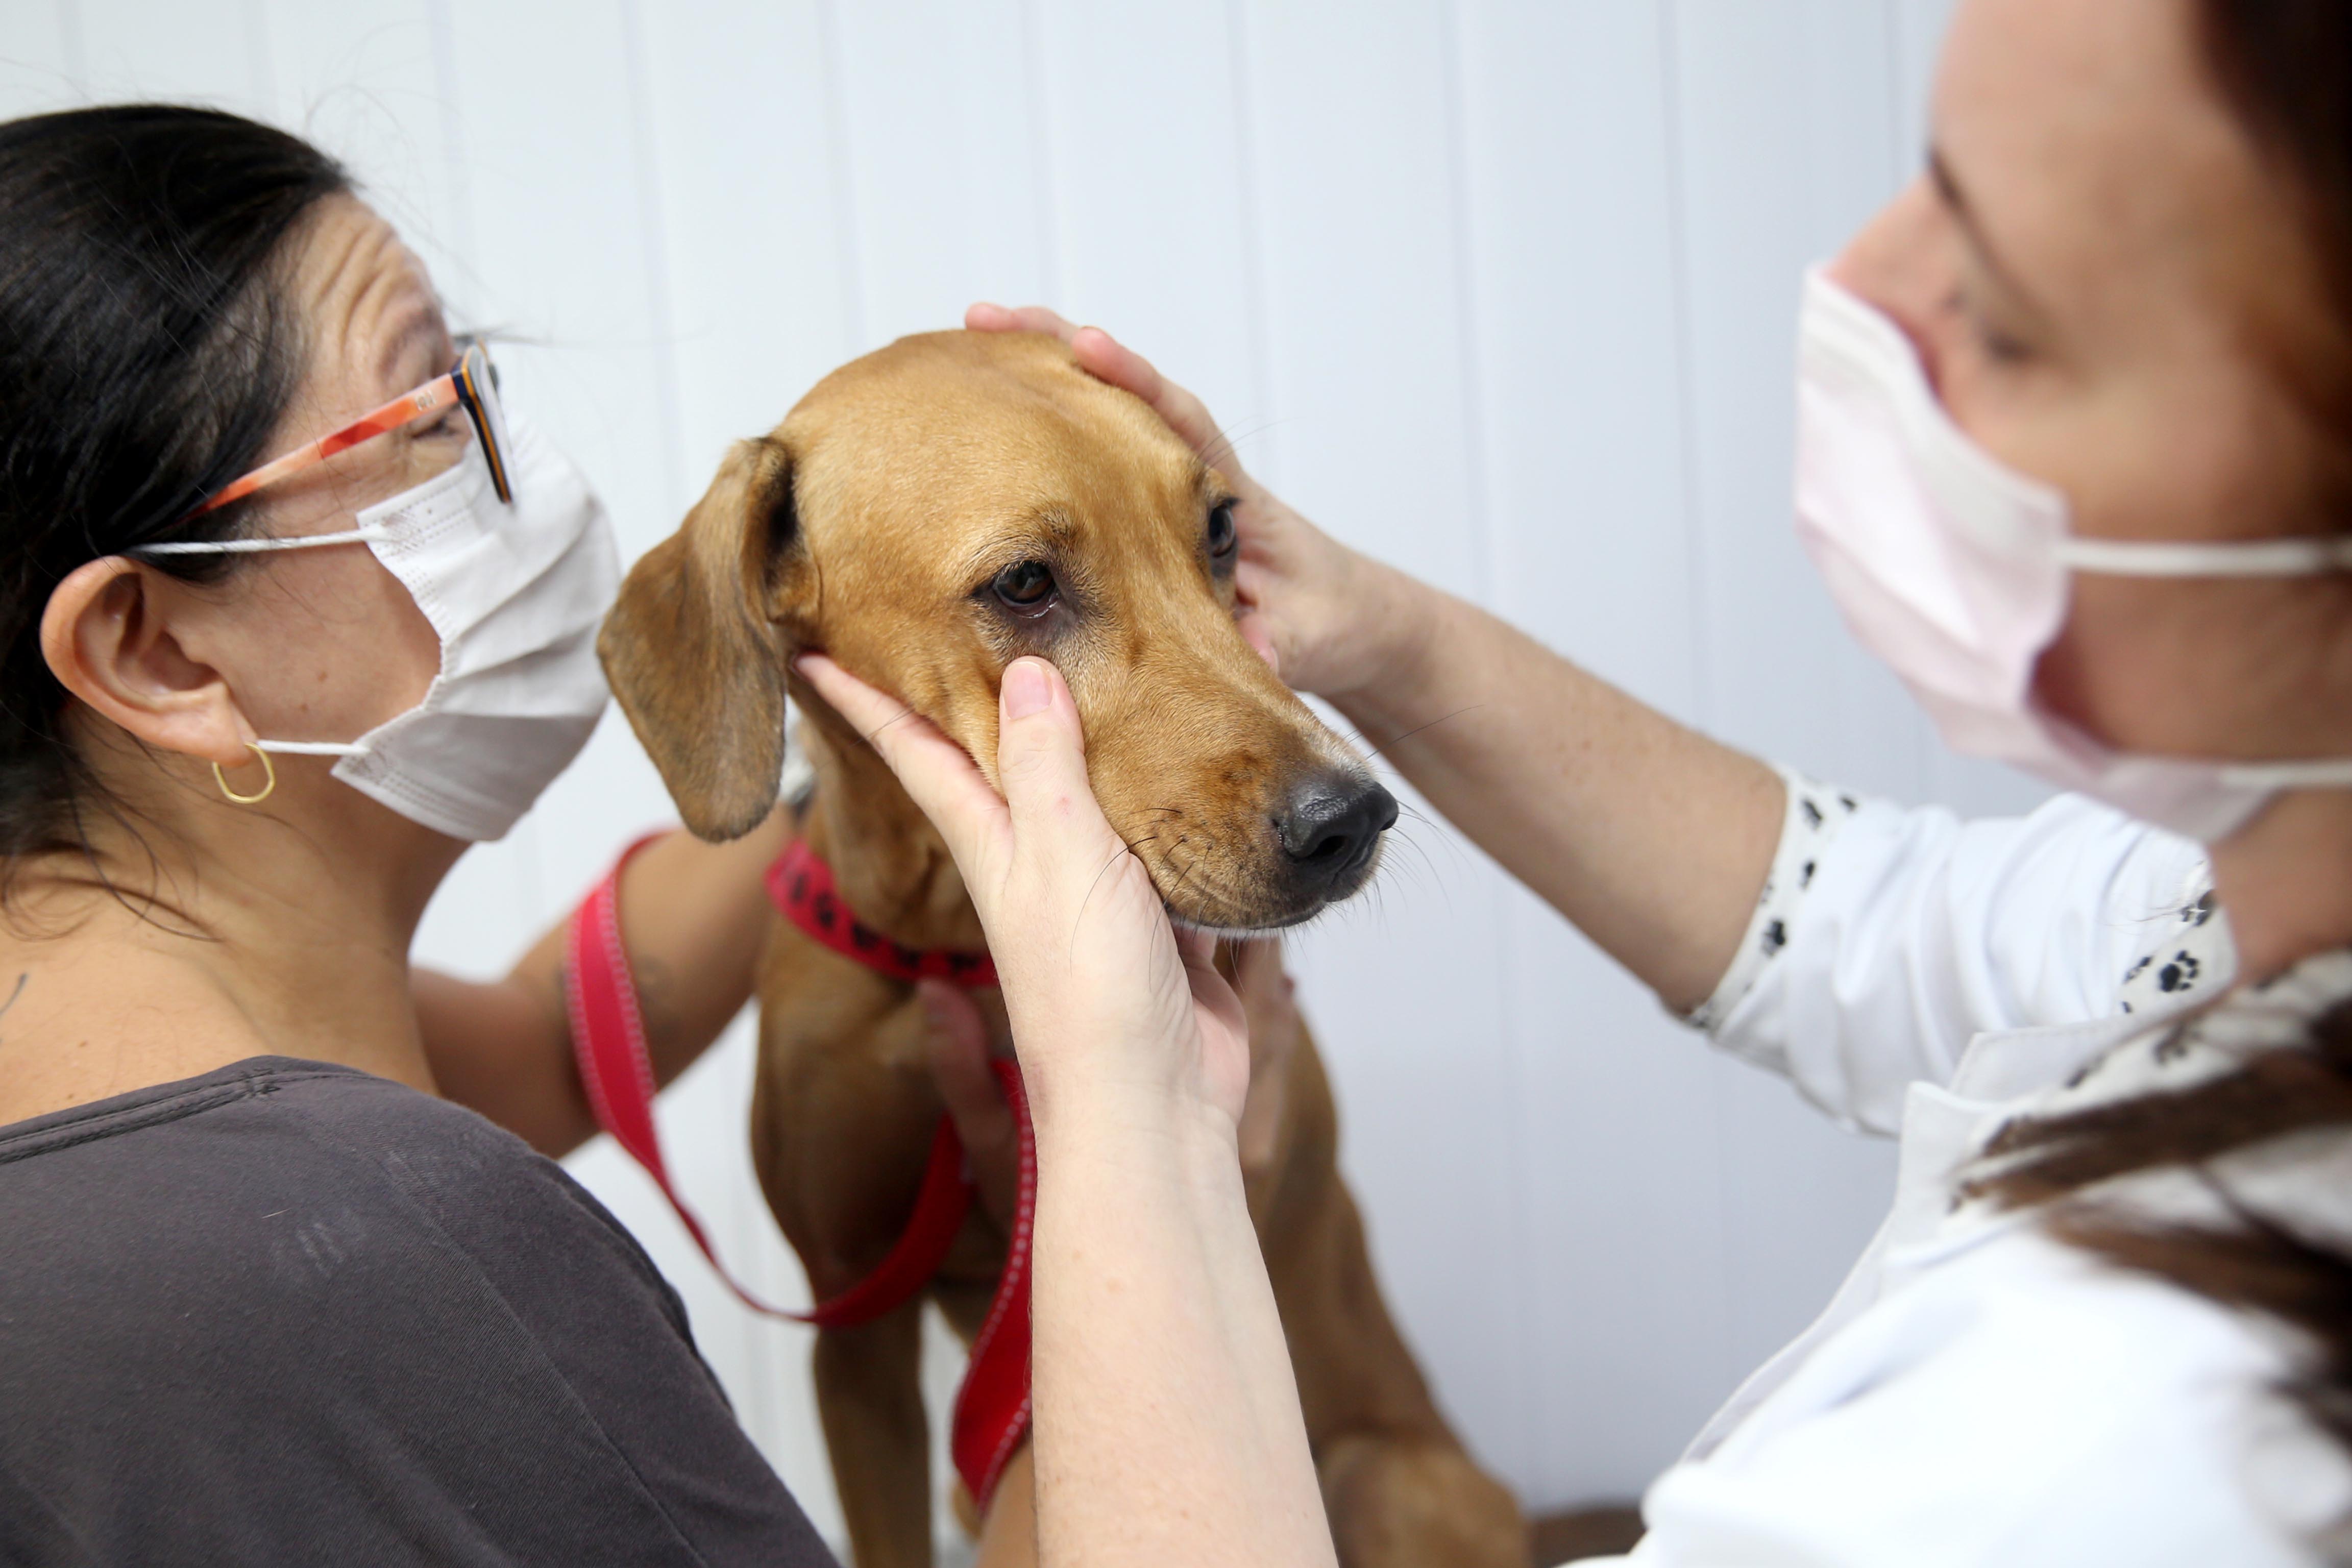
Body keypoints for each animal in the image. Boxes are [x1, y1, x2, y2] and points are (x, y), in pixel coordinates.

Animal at [602, 334, 1524, 1568]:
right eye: (1026, 584)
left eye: (1221, 529)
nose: (1350, 819)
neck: (953, 947)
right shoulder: (854, 1327)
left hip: (1398, 1478)